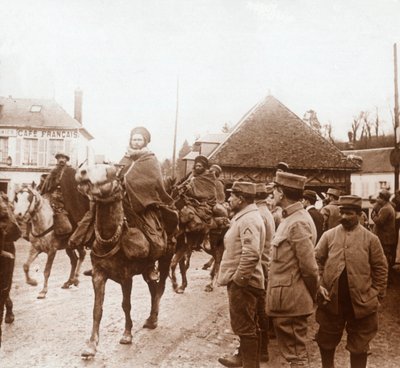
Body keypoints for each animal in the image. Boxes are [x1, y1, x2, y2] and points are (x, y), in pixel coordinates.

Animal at [76, 165, 174, 360]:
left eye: (108, 170)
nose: (82, 172)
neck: (110, 240)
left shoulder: (126, 277)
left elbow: (126, 305)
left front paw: (127, 335)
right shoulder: (98, 275)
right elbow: (97, 310)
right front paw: (91, 345)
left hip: (166, 261)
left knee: (160, 289)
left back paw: (153, 319)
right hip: (146, 270)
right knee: (153, 288)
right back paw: (151, 319)